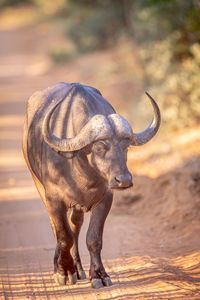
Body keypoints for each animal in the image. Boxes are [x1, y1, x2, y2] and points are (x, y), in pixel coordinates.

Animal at [22, 82, 161, 288]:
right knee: (57, 228)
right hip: (38, 185)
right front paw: (64, 272)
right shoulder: (54, 199)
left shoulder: (105, 199)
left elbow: (93, 239)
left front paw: (98, 274)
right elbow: (63, 236)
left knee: (75, 225)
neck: (81, 167)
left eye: (126, 146)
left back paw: (78, 268)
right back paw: (63, 266)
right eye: (99, 147)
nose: (124, 180)